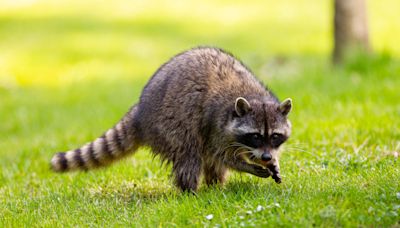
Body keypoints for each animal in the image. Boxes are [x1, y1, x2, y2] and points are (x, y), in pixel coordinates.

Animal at [51, 46, 292, 192]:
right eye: (255, 136)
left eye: (275, 136)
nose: (266, 157)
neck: (253, 96)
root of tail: (140, 111)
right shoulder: (216, 125)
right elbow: (223, 155)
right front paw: (247, 166)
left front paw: (270, 161)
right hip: (170, 124)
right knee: (190, 154)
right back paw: (190, 191)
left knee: (207, 162)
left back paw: (215, 186)